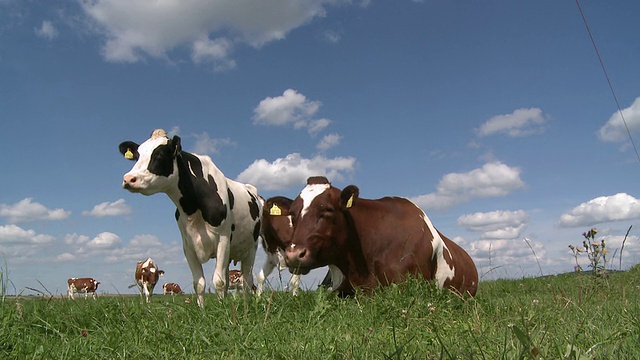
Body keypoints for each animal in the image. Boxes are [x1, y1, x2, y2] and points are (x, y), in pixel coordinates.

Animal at [119, 129, 262, 306]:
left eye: (159, 155)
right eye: (137, 156)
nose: (128, 179)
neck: (193, 206)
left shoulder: (223, 240)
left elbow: (219, 281)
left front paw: (222, 309)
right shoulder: (188, 245)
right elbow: (199, 283)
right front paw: (202, 309)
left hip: (251, 248)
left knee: (247, 280)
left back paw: (246, 305)